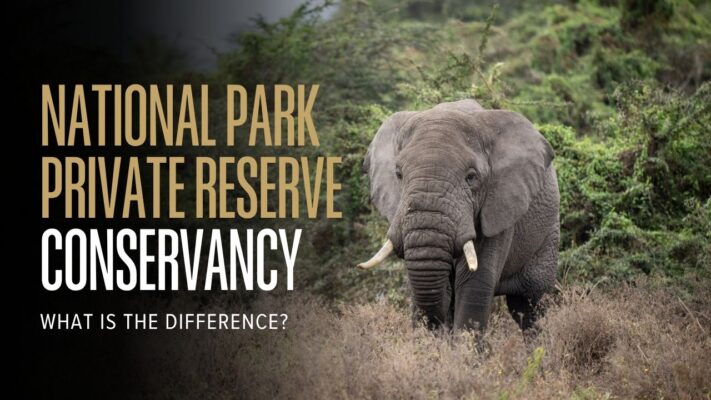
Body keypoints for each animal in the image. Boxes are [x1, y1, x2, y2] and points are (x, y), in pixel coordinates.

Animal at [357, 99, 560, 334]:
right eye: (398, 174)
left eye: (471, 177)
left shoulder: (499, 206)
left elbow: (474, 284)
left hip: (548, 233)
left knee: (529, 308)